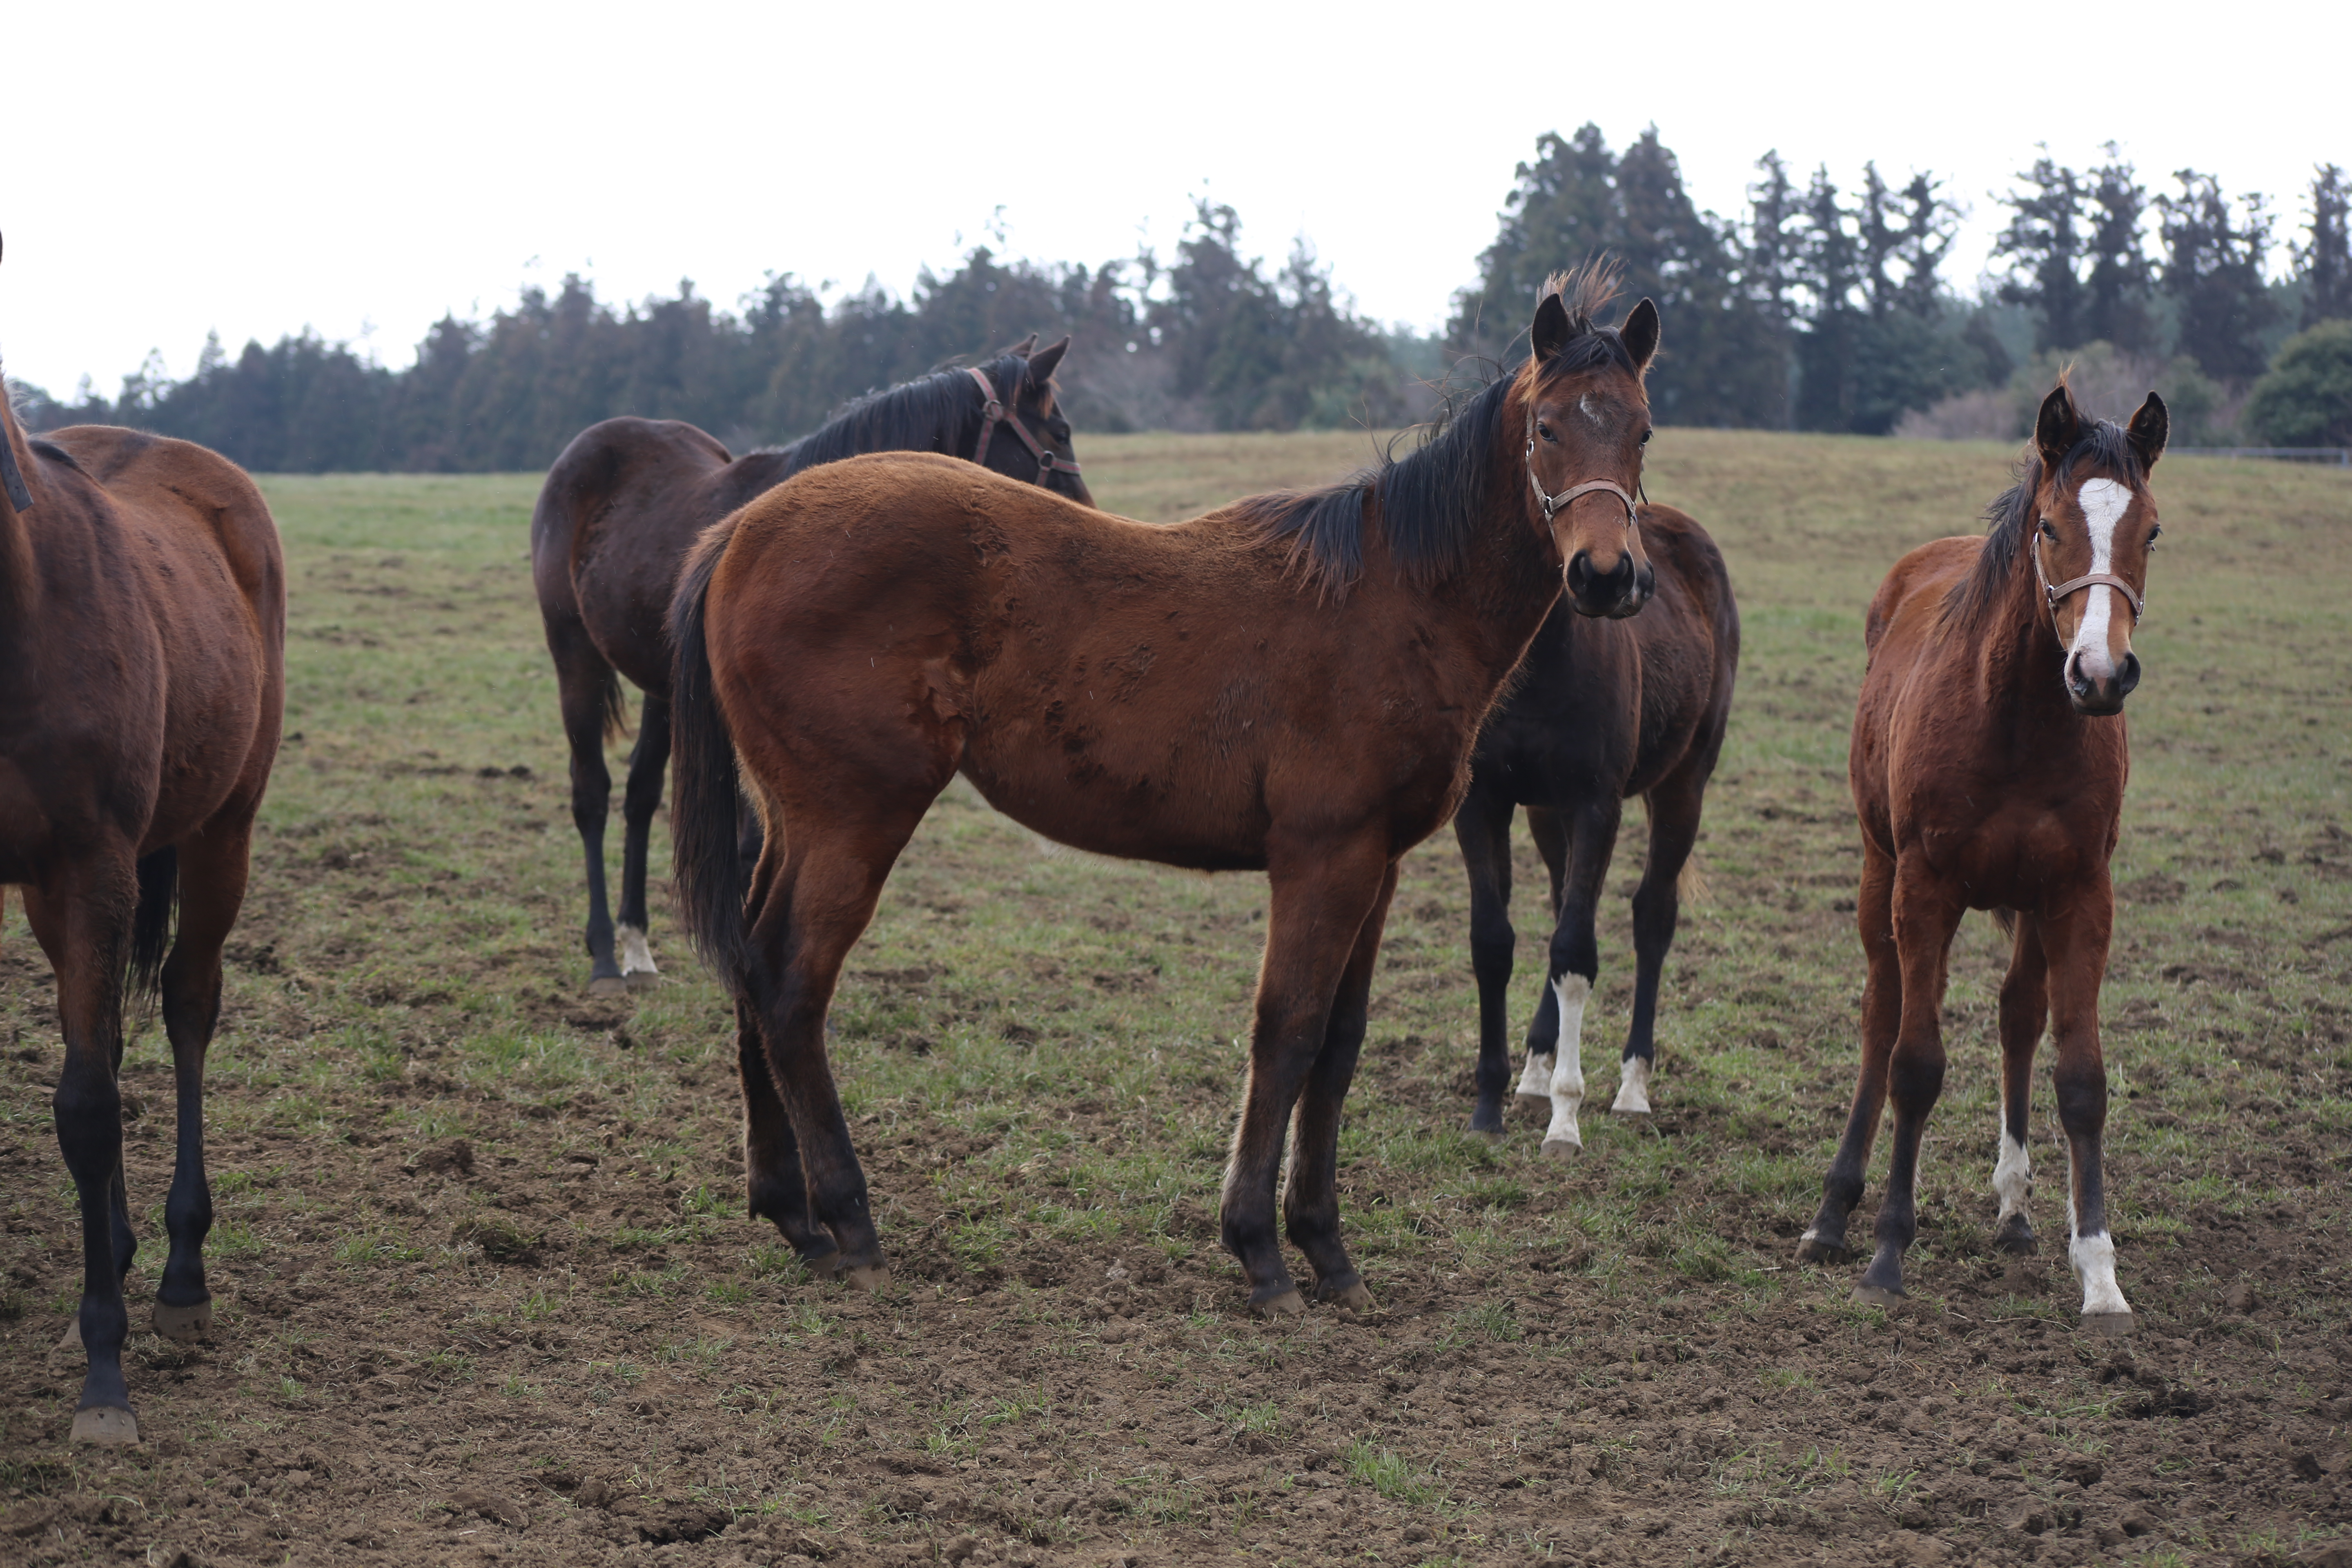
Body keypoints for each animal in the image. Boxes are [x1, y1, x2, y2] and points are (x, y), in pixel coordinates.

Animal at [0, 294, 289, 1439]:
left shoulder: (94, 868)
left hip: (219, 836)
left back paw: (175, 1276)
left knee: (183, 1009)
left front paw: (104, 1376)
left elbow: (85, 1105)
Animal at [529, 341, 1087, 992]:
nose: (1084, 519)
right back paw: (603, 955)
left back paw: (637, 944)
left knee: (642, 795)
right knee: (592, 793)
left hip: (664, 690)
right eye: (1060, 433)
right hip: (575, 653)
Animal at [663, 267, 1656, 1316]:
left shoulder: (1375, 865)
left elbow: (1339, 1045)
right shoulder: (1322, 859)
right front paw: (1260, 1248)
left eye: (1639, 430)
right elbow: (1288, 1034)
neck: (1394, 599)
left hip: (800, 821)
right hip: (855, 819)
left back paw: (792, 1211)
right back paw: (848, 1217)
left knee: (752, 962)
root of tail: (741, 531)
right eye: (1546, 427)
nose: (1604, 576)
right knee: (790, 984)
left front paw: (1325, 1244)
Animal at [1797, 383, 2164, 1335]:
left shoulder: (2080, 893)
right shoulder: (1926, 888)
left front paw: (2099, 1272)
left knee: (2016, 1016)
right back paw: (1834, 1213)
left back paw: (2016, 1210)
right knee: (1882, 1014)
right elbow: (1916, 1064)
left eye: (2150, 531)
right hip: (1879, 872)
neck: (2018, 717)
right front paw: (1887, 1253)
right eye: (2049, 527)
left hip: (2030, 904)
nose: (2101, 674)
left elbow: (2081, 1078)